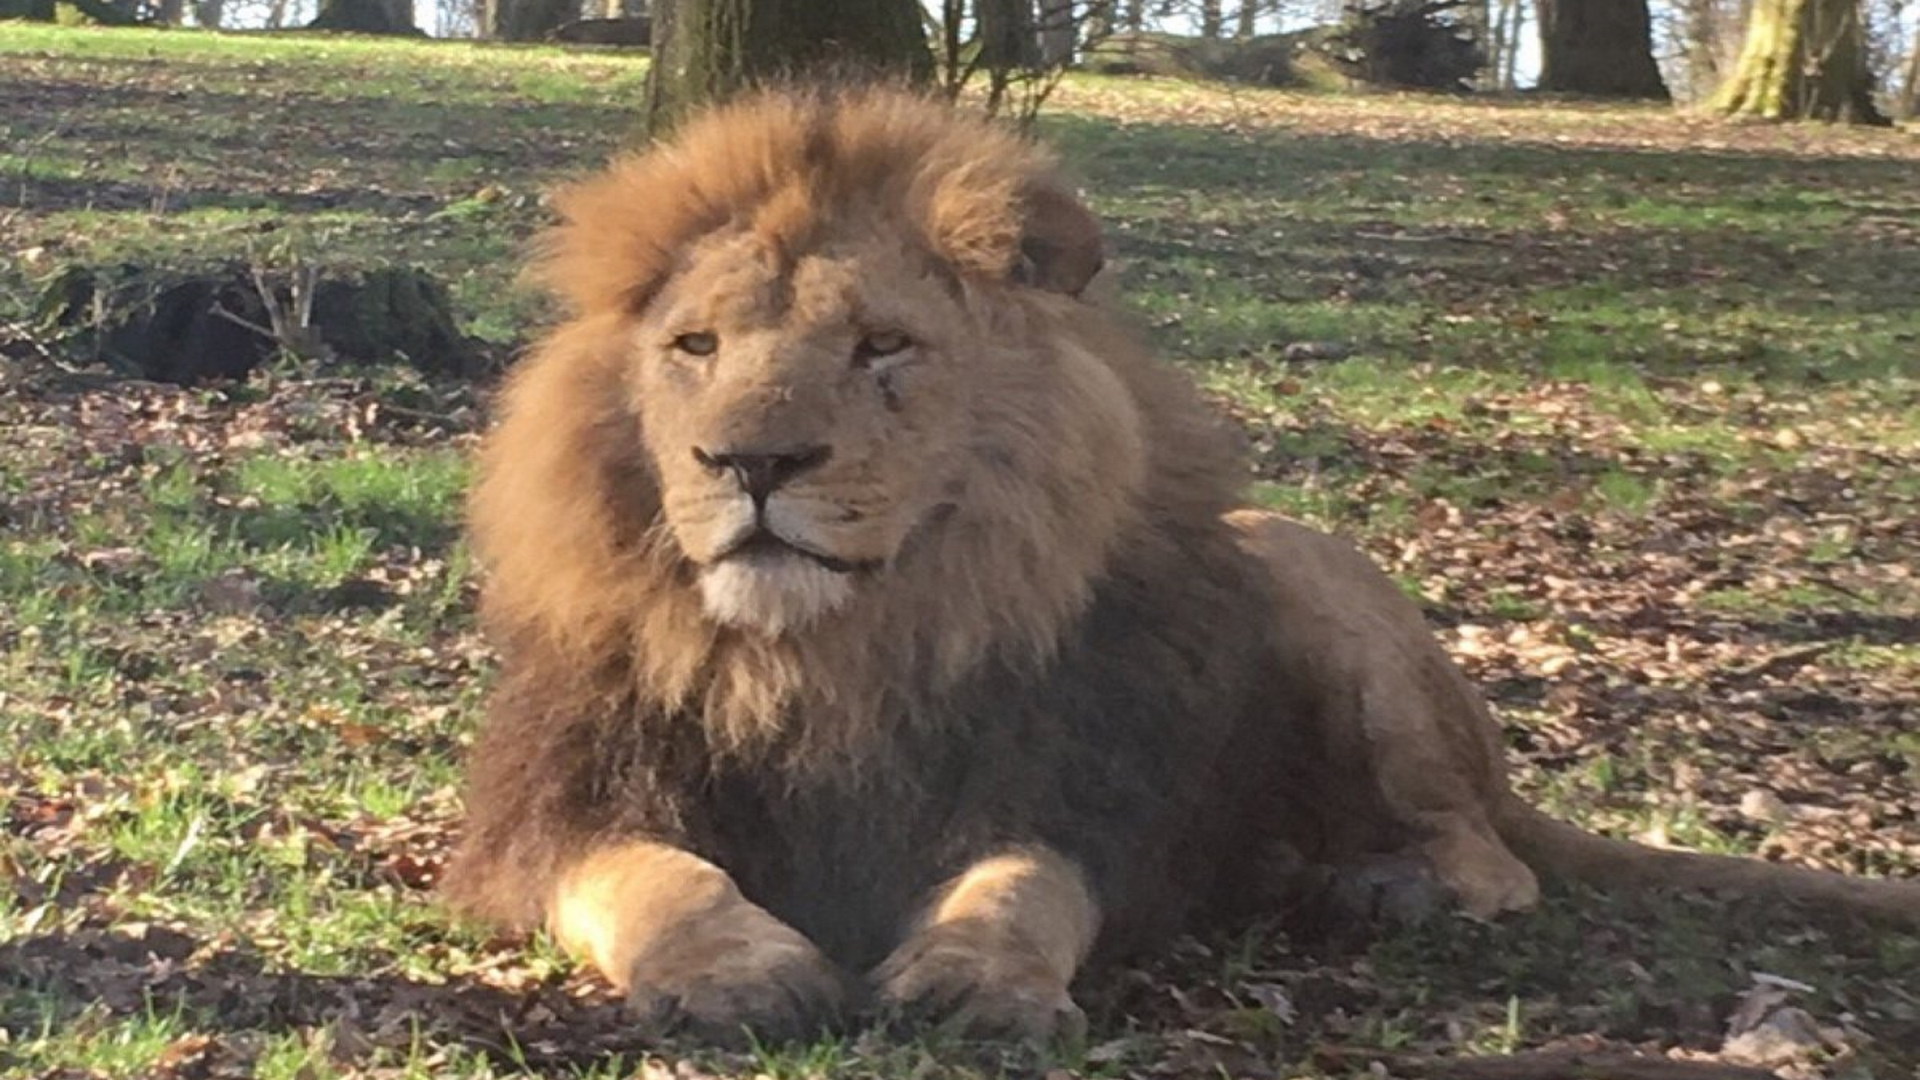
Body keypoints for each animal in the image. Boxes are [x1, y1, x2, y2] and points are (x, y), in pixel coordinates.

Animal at [439, 85, 1920, 1045]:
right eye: (695, 347)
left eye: (882, 347)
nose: (750, 461)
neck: (845, 648)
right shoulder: (556, 805)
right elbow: (651, 877)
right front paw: (738, 968)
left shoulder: (1089, 791)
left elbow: (1027, 882)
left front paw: (977, 976)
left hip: (1296, 572)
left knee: (1498, 861)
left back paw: (1379, 889)